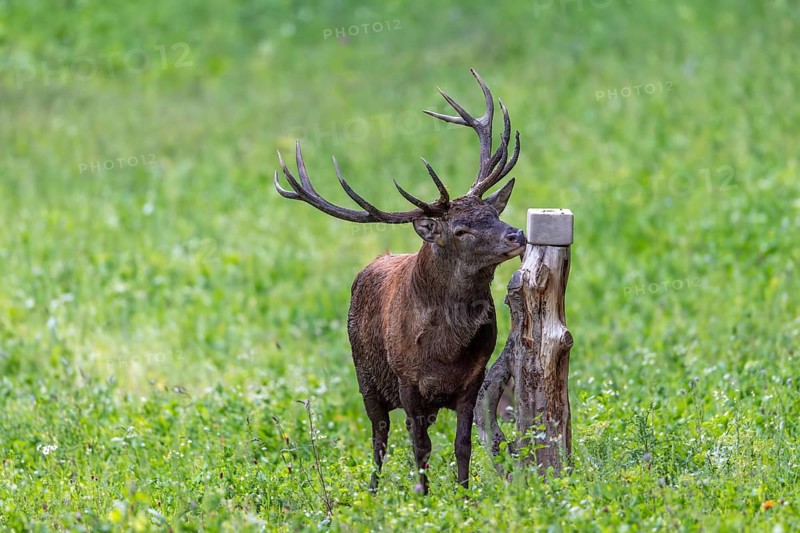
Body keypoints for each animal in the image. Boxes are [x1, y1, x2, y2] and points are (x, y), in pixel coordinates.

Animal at [274, 69, 525, 495]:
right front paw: (422, 499)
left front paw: (464, 496)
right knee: (380, 436)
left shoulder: (472, 381)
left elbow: (462, 444)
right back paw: (373, 492)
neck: (446, 351)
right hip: (366, 378)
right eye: (460, 230)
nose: (517, 235)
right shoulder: (407, 379)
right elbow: (419, 448)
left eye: (492, 212)